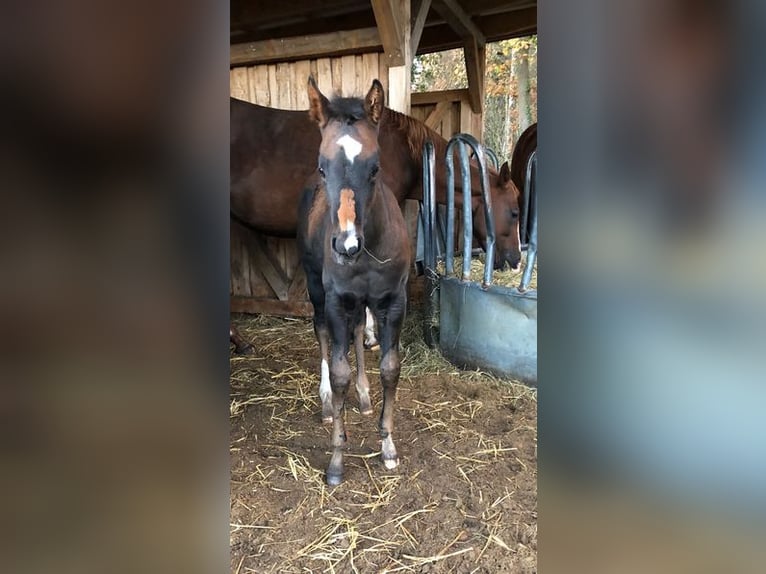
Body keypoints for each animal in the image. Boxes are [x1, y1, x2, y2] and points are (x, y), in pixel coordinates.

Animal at [297, 77, 410, 486]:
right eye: (322, 167)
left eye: (375, 168)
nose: (346, 245)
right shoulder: (335, 299)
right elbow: (340, 370)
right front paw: (336, 462)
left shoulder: (392, 299)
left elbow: (389, 368)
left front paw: (388, 447)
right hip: (317, 291)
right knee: (323, 335)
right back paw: (328, 401)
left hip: (362, 302)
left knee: (361, 329)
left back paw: (363, 398)